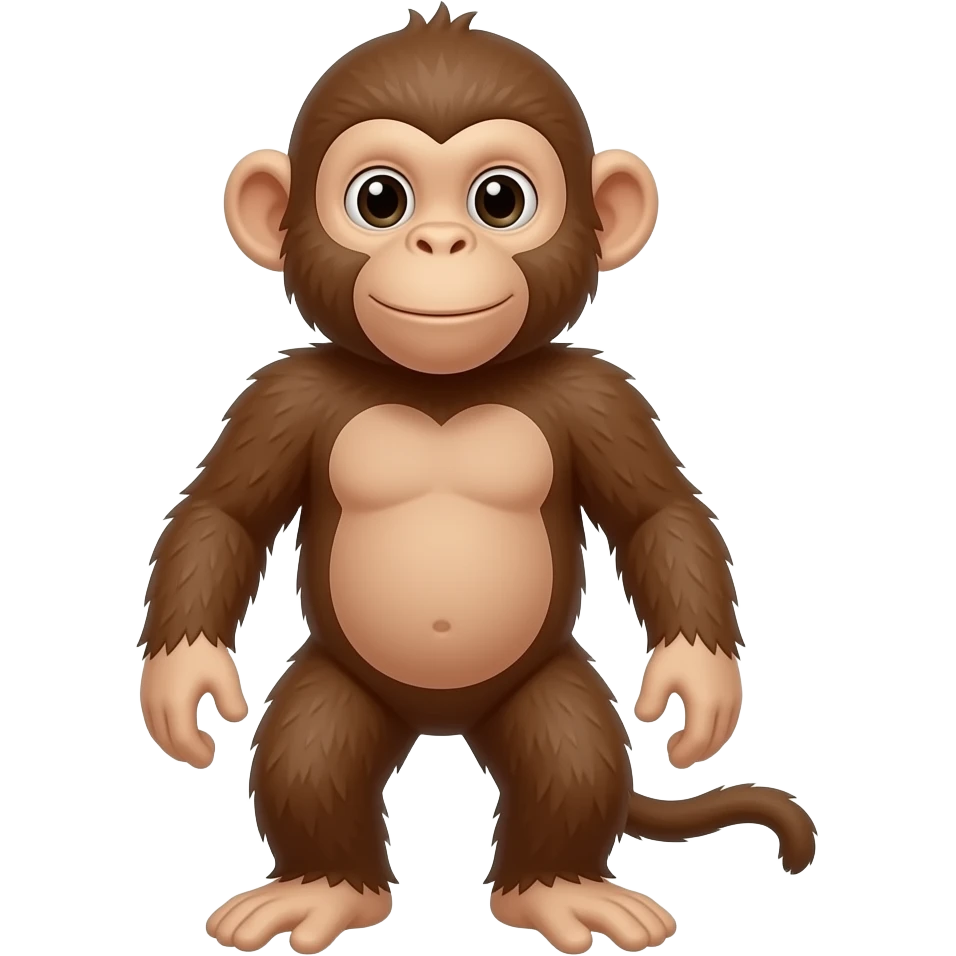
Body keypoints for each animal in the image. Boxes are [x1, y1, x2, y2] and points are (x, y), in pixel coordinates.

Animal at [138, 6, 817, 954]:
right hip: (344, 681)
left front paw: (700, 680)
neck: (443, 389)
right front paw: (183, 680)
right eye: (379, 199)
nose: (440, 241)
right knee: (312, 750)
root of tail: (441, 719)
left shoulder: (598, 395)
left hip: (541, 681)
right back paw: (322, 887)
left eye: (500, 199)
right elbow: (223, 515)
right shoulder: (283, 395)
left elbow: (658, 515)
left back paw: (561, 887)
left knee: (570, 750)